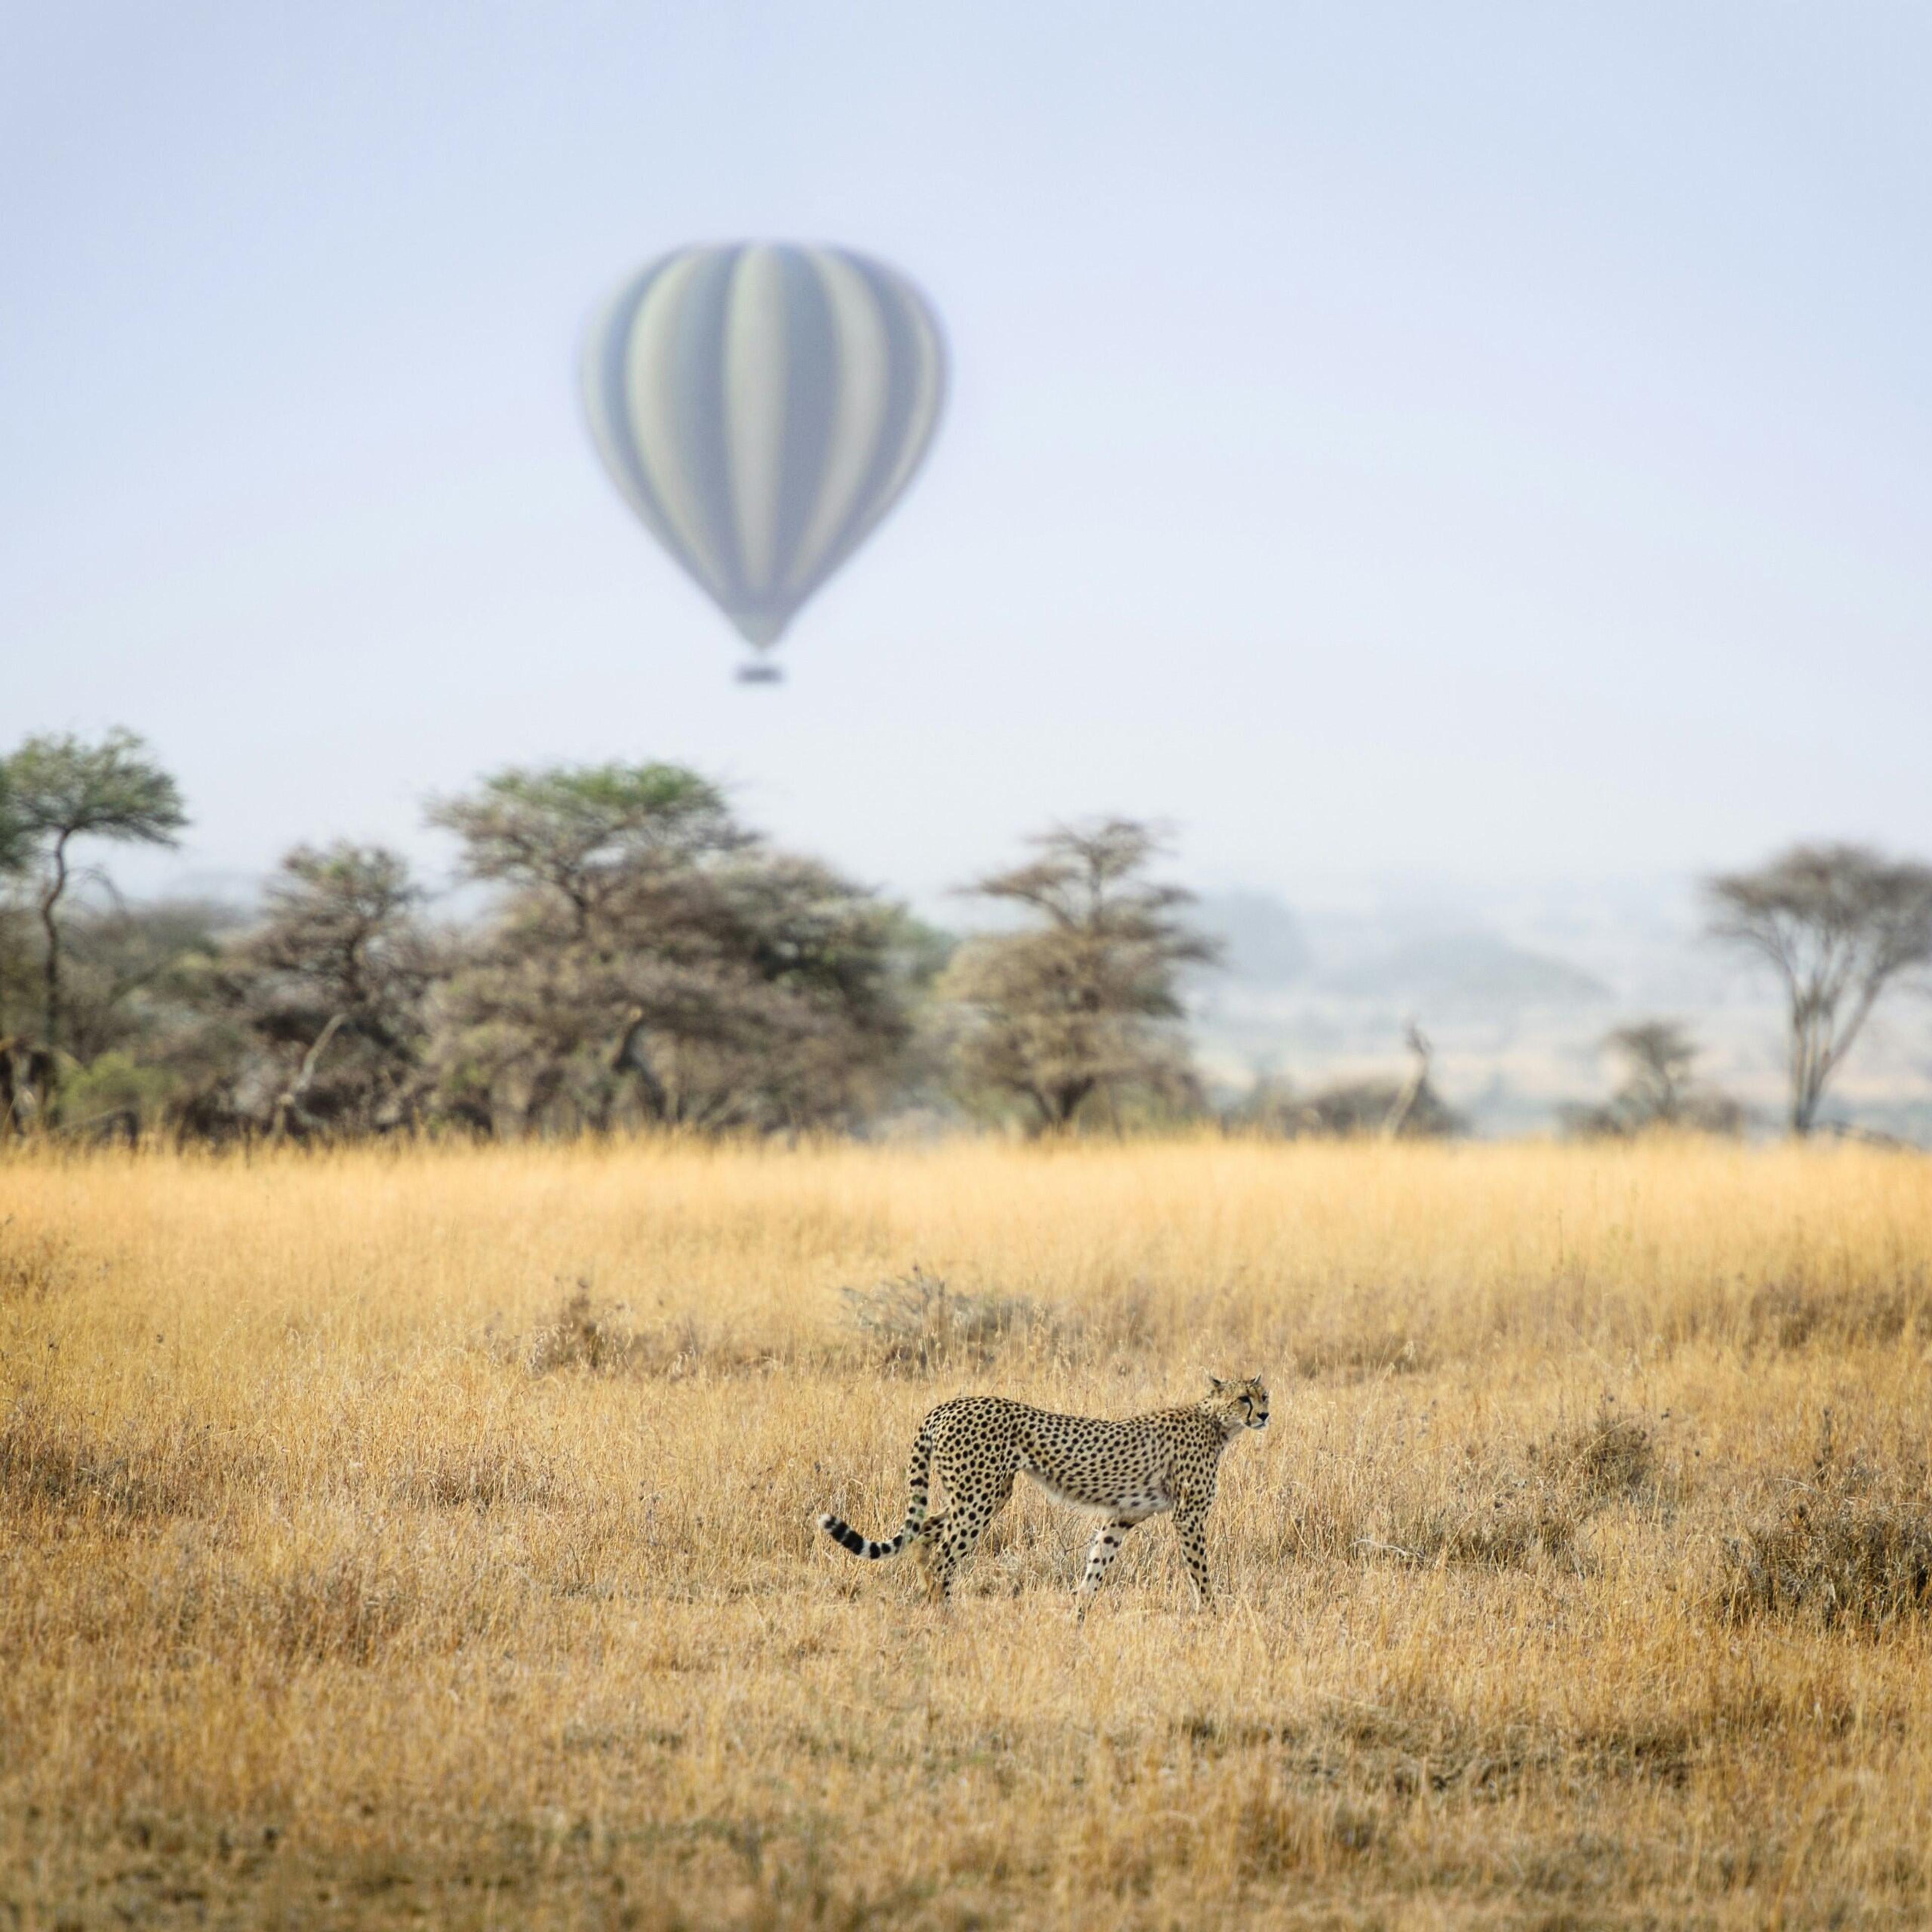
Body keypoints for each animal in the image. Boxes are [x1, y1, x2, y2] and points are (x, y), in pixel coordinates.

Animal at [815, 1376, 1267, 1615]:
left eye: (1265, 1395)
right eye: (1243, 1398)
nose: (1264, 1415)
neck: (1217, 1423)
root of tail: (946, 1406)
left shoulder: (1121, 1515)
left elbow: (1097, 1564)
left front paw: (1078, 1616)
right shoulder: (1188, 1517)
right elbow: (1201, 1571)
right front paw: (1212, 1616)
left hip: (984, 1493)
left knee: (925, 1533)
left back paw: (933, 1607)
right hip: (980, 1496)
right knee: (943, 1553)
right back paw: (948, 1617)